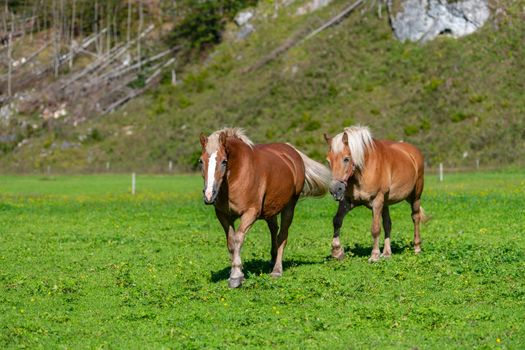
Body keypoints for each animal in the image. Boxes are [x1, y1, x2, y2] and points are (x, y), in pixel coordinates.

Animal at [199, 128, 330, 288]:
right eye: (201, 161)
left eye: (224, 161)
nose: (209, 195)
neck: (238, 175)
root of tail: (292, 151)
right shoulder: (223, 215)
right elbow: (230, 242)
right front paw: (234, 273)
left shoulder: (250, 213)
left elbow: (238, 239)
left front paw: (236, 276)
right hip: (271, 208)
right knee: (274, 230)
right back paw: (273, 260)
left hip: (289, 207)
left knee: (282, 236)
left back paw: (277, 270)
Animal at [324, 126, 426, 262]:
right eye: (328, 161)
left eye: (346, 159)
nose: (336, 189)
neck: (364, 170)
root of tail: (413, 152)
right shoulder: (347, 201)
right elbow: (337, 221)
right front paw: (337, 252)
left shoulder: (377, 201)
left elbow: (375, 229)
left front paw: (374, 255)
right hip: (386, 203)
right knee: (388, 224)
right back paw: (387, 253)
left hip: (415, 197)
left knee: (415, 218)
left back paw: (417, 248)